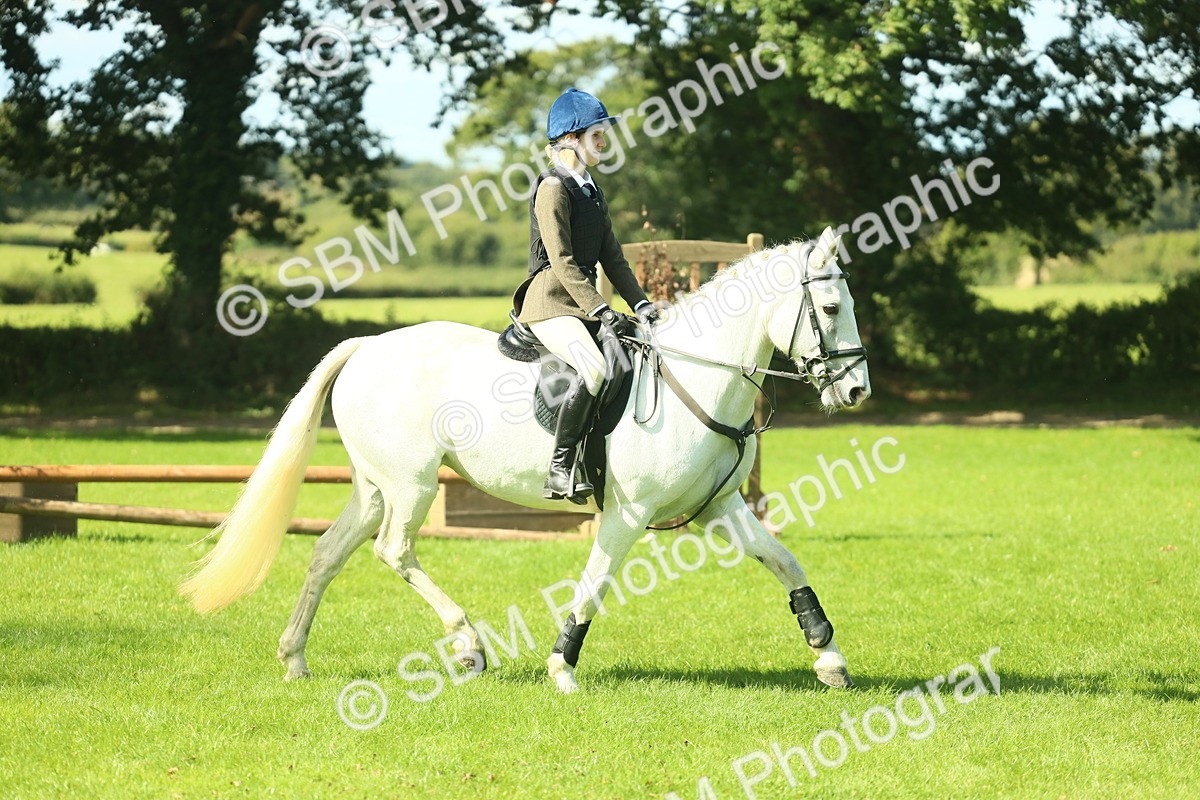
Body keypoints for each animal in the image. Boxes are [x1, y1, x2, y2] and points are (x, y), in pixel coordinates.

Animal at [180, 226, 871, 692]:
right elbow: (594, 585)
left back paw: (294, 656)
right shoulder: (627, 514)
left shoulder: (720, 506)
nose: (856, 392)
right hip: (412, 485)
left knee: (328, 553)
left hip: (375, 486)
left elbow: (783, 561)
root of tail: (367, 346)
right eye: (831, 308)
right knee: (394, 550)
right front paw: (562, 667)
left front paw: (828, 655)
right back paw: (468, 645)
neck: (695, 379)